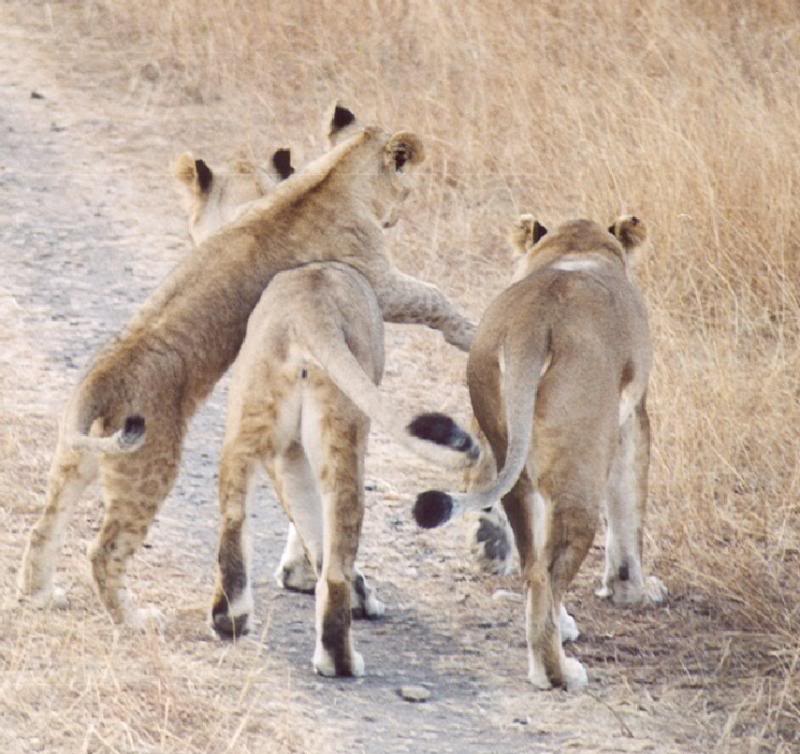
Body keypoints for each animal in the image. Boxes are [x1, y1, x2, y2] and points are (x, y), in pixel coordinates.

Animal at [17, 105, 476, 631]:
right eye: (408, 187)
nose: (398, 217)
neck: (336, 172)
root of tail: (101, 377)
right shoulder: (379, 280)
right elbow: (432, 297)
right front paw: (471, 331)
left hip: (79, 456)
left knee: (44, 525)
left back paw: (41, 595)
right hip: (148, 465)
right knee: (104, 551)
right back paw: (136, 619)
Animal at [410, 214, 668, 691]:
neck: (575, 247)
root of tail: (532, 327)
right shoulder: (634, 419)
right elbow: (629, 513)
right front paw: (634, 592)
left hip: (516, 460)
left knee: (533, 565)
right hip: (579, 471)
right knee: (549, 569)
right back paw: (557, 671)